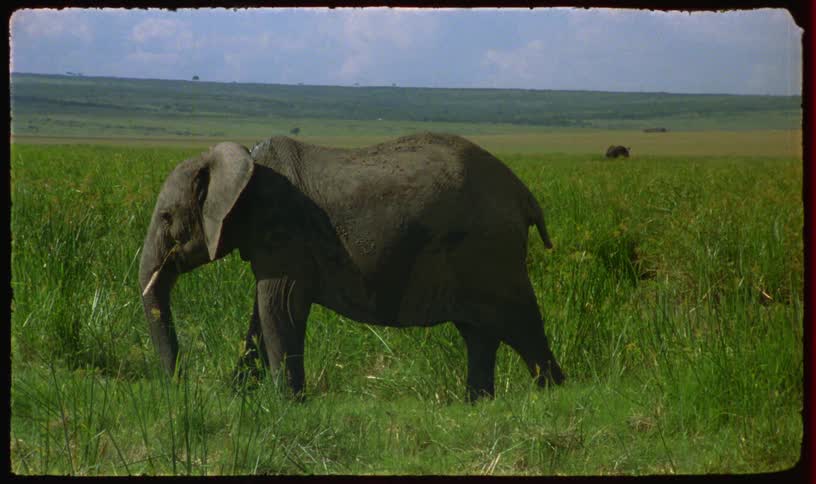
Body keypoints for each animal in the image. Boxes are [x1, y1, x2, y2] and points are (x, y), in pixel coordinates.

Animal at [139, 132, 564, 401]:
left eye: (166, 217)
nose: (182, 386)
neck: (242, 163)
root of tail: (524, 194)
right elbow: (261, 315)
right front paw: (238, 397)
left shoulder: (283, 229)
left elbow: (279, 306)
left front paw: (286, 405)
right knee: (479, 333)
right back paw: (477, 404)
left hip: (491, 252)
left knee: (521, 325)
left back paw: (555, 395)